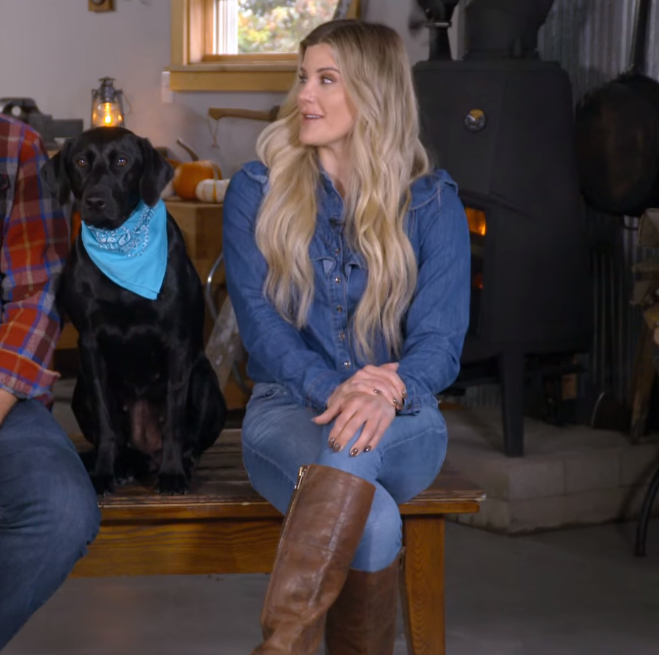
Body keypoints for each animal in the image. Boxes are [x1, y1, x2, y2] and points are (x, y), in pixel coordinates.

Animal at [43, 127, 226, 495]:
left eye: (123, 162)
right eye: (81, 162)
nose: (95, 201)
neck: (123, 251)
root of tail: (146, 452)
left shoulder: (178, 343)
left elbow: (173, 419)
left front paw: (173, 474)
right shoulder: (90, 345)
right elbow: (106, 422)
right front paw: (103, 473)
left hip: (206, 381)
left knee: (191, 438)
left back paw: (181, 463)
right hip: (81, 389)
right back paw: (124, 465)